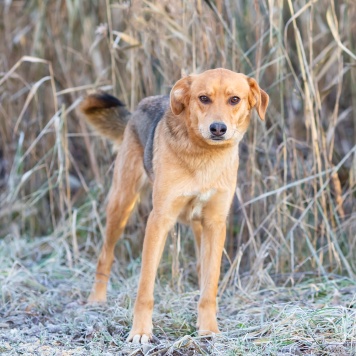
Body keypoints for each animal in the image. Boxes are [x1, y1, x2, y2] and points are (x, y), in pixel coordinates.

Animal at [79, 68, 268, 344]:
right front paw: (140, 332)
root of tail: (140, 107)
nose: (218, 128)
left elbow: (210, 286)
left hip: (200, 227)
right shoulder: (159, 220)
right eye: (203, 98)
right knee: (106, 255)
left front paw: (209, 329)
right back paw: (96, 299)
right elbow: (145, 287)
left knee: (202, 270)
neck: (204, 157)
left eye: (234, 99)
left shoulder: (215, 223)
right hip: (121, 205)